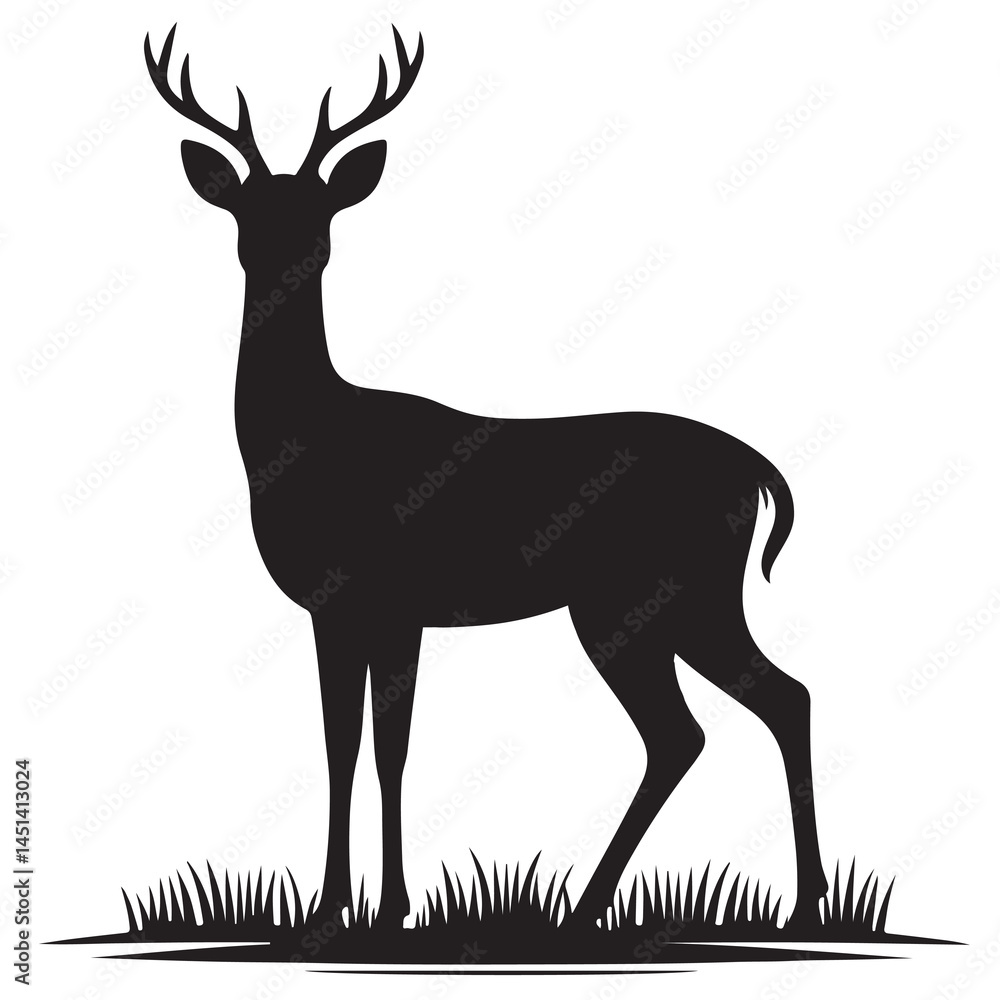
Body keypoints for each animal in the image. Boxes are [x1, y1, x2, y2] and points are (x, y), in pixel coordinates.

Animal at [144, 23, 828, 931]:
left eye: (320, 211)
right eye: (247, 212)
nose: (286, 257)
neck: (306, 448)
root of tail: (756, 471)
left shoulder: (390, 599)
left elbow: (386, 749)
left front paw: (382, 909)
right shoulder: (338, 607)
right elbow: (342, 745)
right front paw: (337, 909)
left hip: (657, 594)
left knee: (724, 717)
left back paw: (655, 906)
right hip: (658, 602)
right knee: (739, 714)